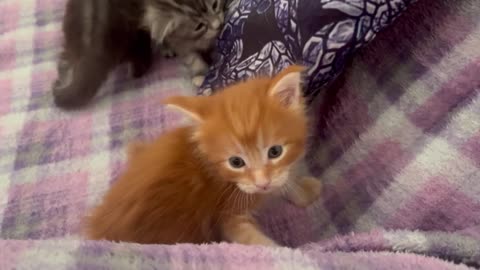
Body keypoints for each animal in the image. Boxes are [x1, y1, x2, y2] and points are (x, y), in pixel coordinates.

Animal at [52, 0, 225, 108]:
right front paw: (201, 73)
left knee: (65, 62)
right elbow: (190, 54)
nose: (218, 24)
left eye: (215, 4)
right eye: (199, 26)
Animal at [86, 66, 322, 247]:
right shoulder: (228, 213)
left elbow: (281, 180)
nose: (262, 183)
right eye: (236, 162)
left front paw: (302, 189)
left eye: (275, 152)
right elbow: (257, 244)